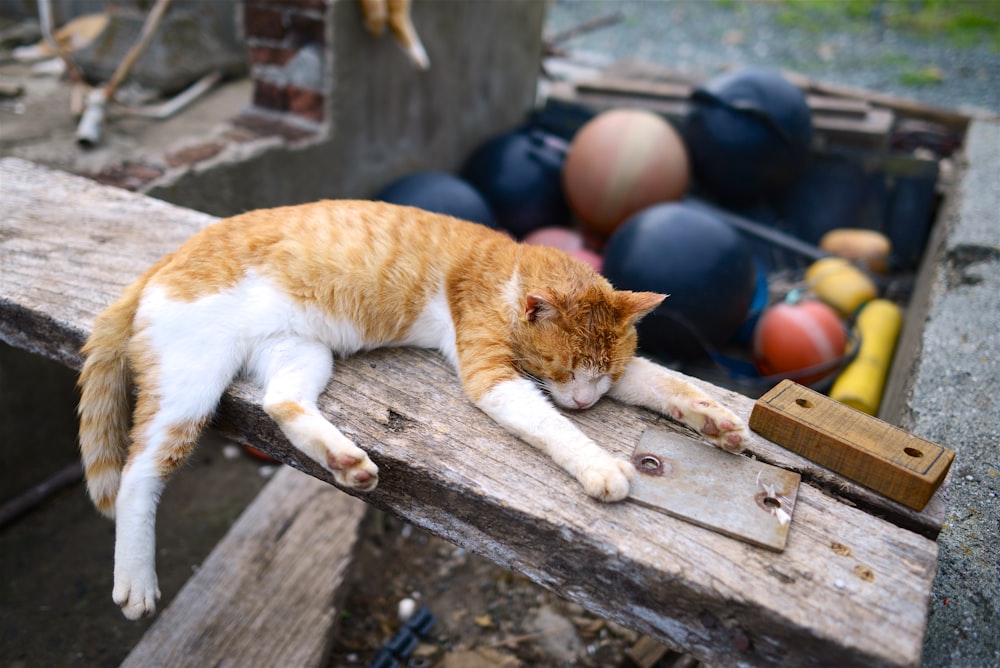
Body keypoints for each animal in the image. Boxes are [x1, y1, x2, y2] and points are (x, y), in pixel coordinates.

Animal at [78, 200, 748, 620]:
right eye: (562, 373)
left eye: (601, 376)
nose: (586, 401)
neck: (509, 269)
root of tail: (165, 260)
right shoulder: (491, 375)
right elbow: (549, 423)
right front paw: (600, 465)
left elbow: (660, 380)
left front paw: (716, 419)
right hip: (190, 385)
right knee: (139, 472)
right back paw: (135, 579)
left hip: (299, 350)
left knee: (281, 400)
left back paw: (346, 462)